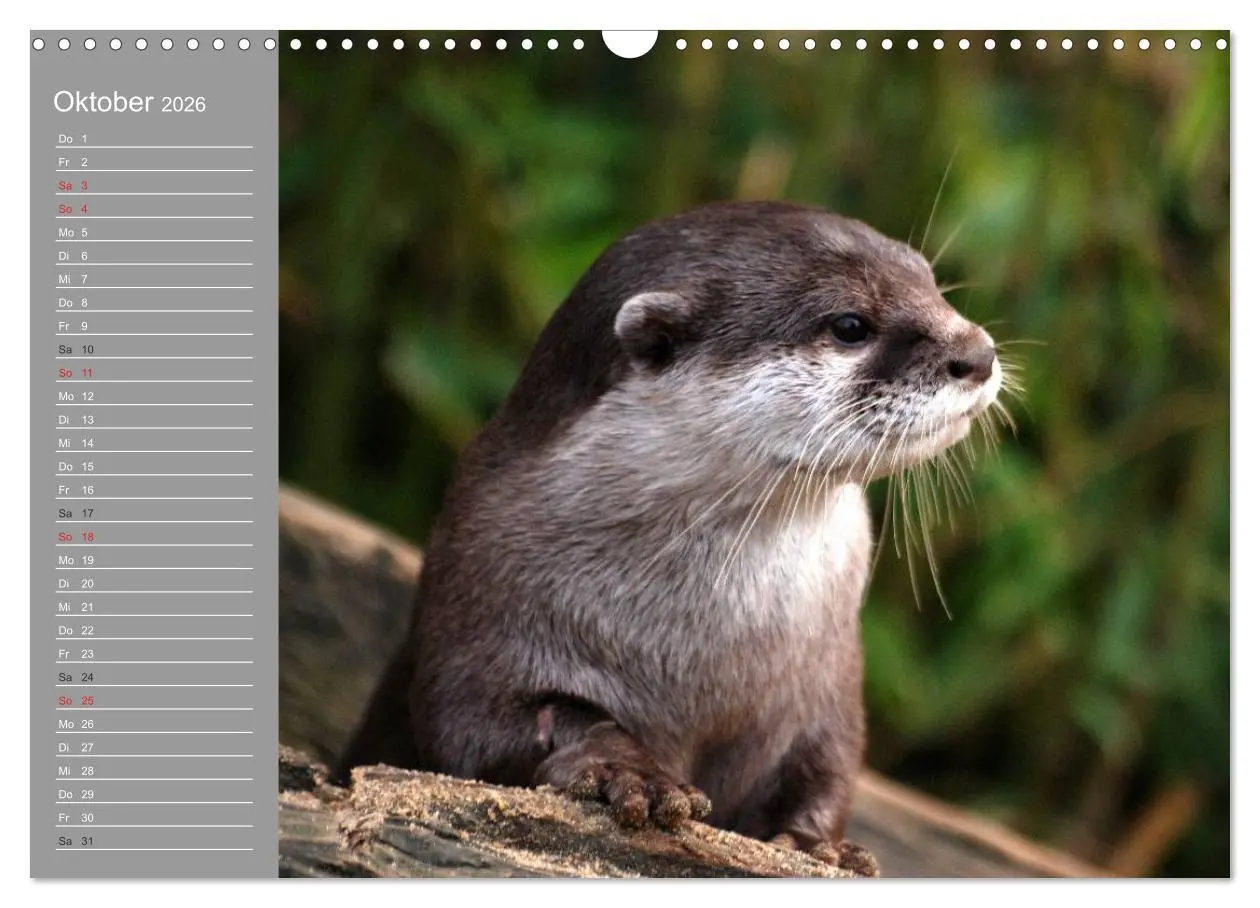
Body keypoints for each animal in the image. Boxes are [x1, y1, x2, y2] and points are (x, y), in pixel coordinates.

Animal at [337, 200, 1004, 864]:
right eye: (849, 325)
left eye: (930, 282)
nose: (978, 353)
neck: (705, 652)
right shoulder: (477, 596)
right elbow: (480, 726)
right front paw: (626, 771)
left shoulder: (828, 684)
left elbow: (829, 766)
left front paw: (819, 844)